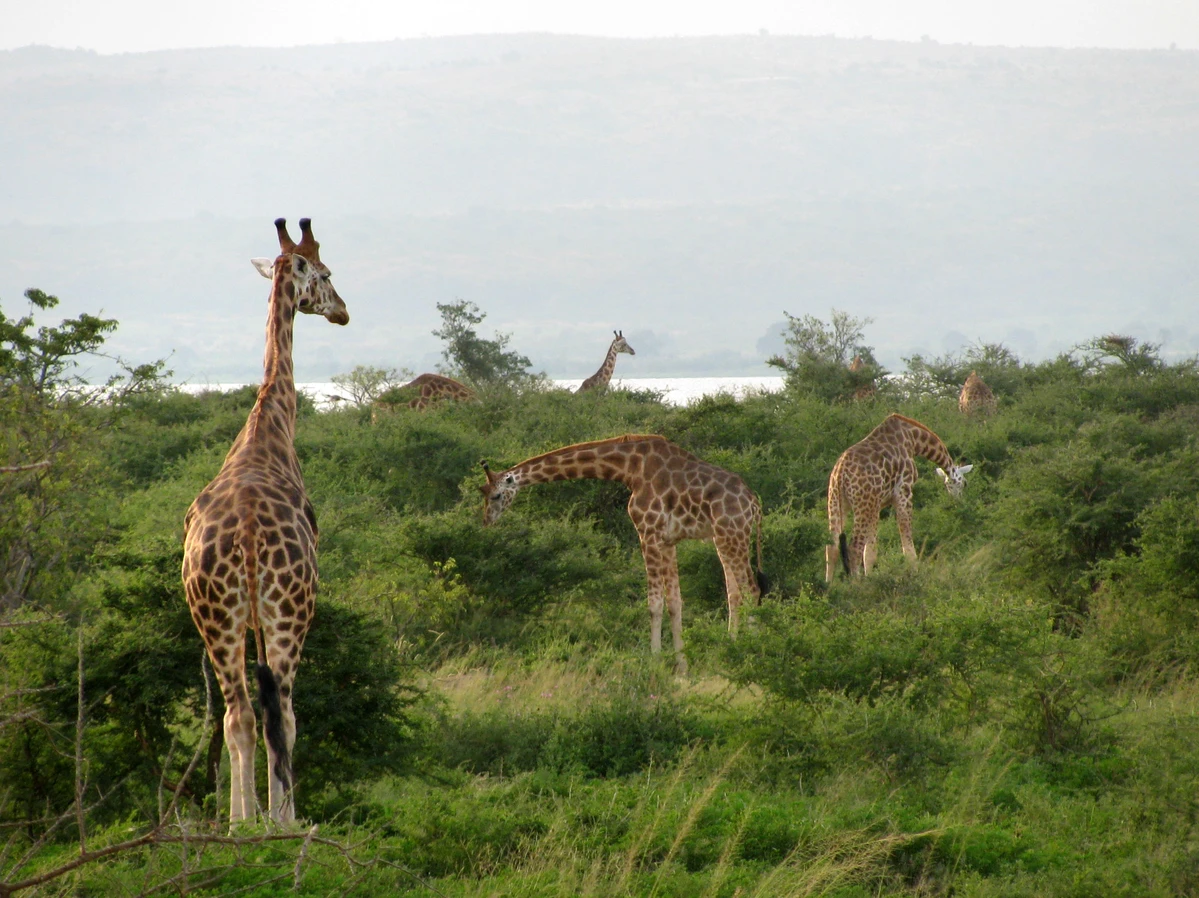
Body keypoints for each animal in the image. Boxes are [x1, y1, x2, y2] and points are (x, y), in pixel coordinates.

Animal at [182, 218, 348, 826]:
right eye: (324, 272)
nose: (343, 311)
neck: (269, 428)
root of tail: (250, 540)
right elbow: (288, 720)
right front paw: (284, 815)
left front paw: (248, 816)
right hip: (289, 612)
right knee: (283, 716)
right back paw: (281, 820)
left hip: (215, 618)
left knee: (239, 717)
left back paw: (239, 824)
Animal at [480, 434, 764, 674]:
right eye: (484, 495)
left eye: (496, 495)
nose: (487, 523)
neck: (630, 469)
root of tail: (754, 503)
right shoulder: (667, 540)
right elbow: (675, 602)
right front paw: (682, 668)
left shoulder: (647, 532)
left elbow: (654, 604)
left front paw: (654, 662)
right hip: (722, 538)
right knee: (735, 593)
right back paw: (730, 649)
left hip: (732, 535)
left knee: (753, 590)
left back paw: (750, 655)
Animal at [825, 413, 971, 580]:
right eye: (964, 483)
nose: (958, 503)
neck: (914, 439)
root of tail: (840, 472)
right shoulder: (904, 492)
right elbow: (906, 543)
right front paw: (915, 572)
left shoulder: (877, 504)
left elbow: (870, 551)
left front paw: (871, 578)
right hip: (863, 504)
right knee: (854, 547)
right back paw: (856, 584)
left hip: (836, 501)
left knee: (832, 547)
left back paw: (829, 585)